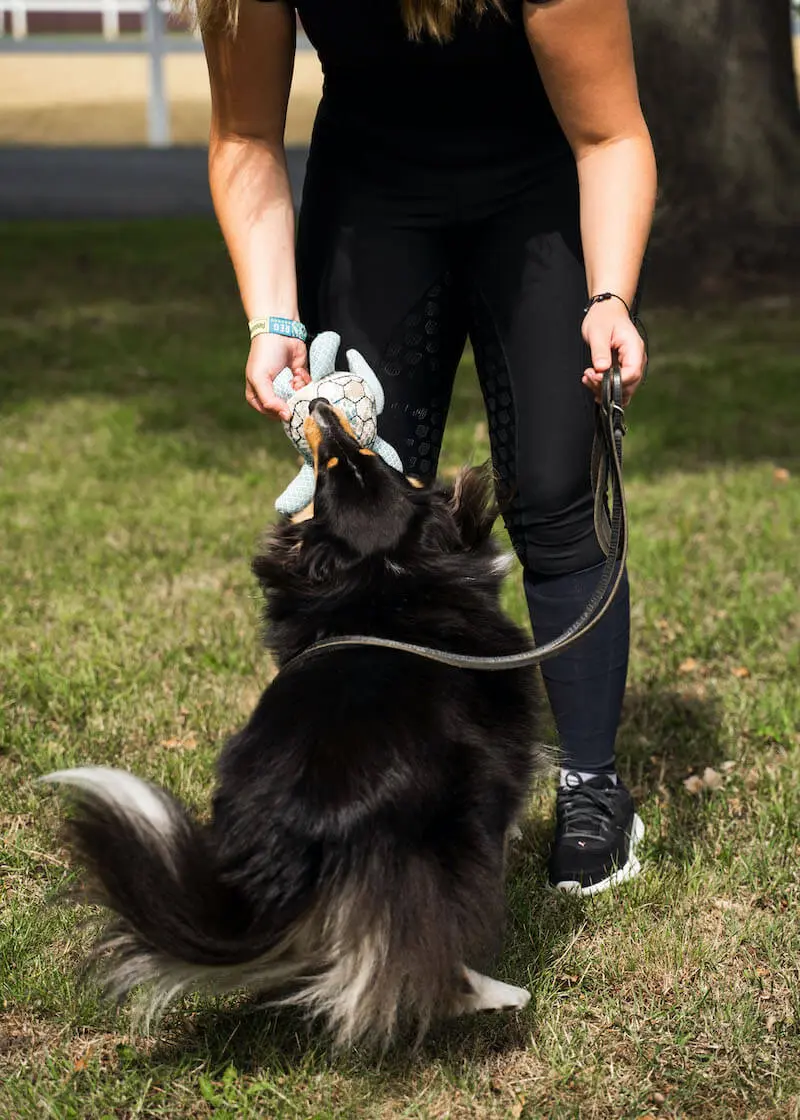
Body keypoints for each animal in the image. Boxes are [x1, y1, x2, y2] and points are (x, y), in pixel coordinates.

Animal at [38, 398, 542, 1043]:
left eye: (356, 460)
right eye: (334, 466)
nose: (322, 406)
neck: (384, 573)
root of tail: (305, 820)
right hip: (438, 844)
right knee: (422, 952)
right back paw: (500, 995)